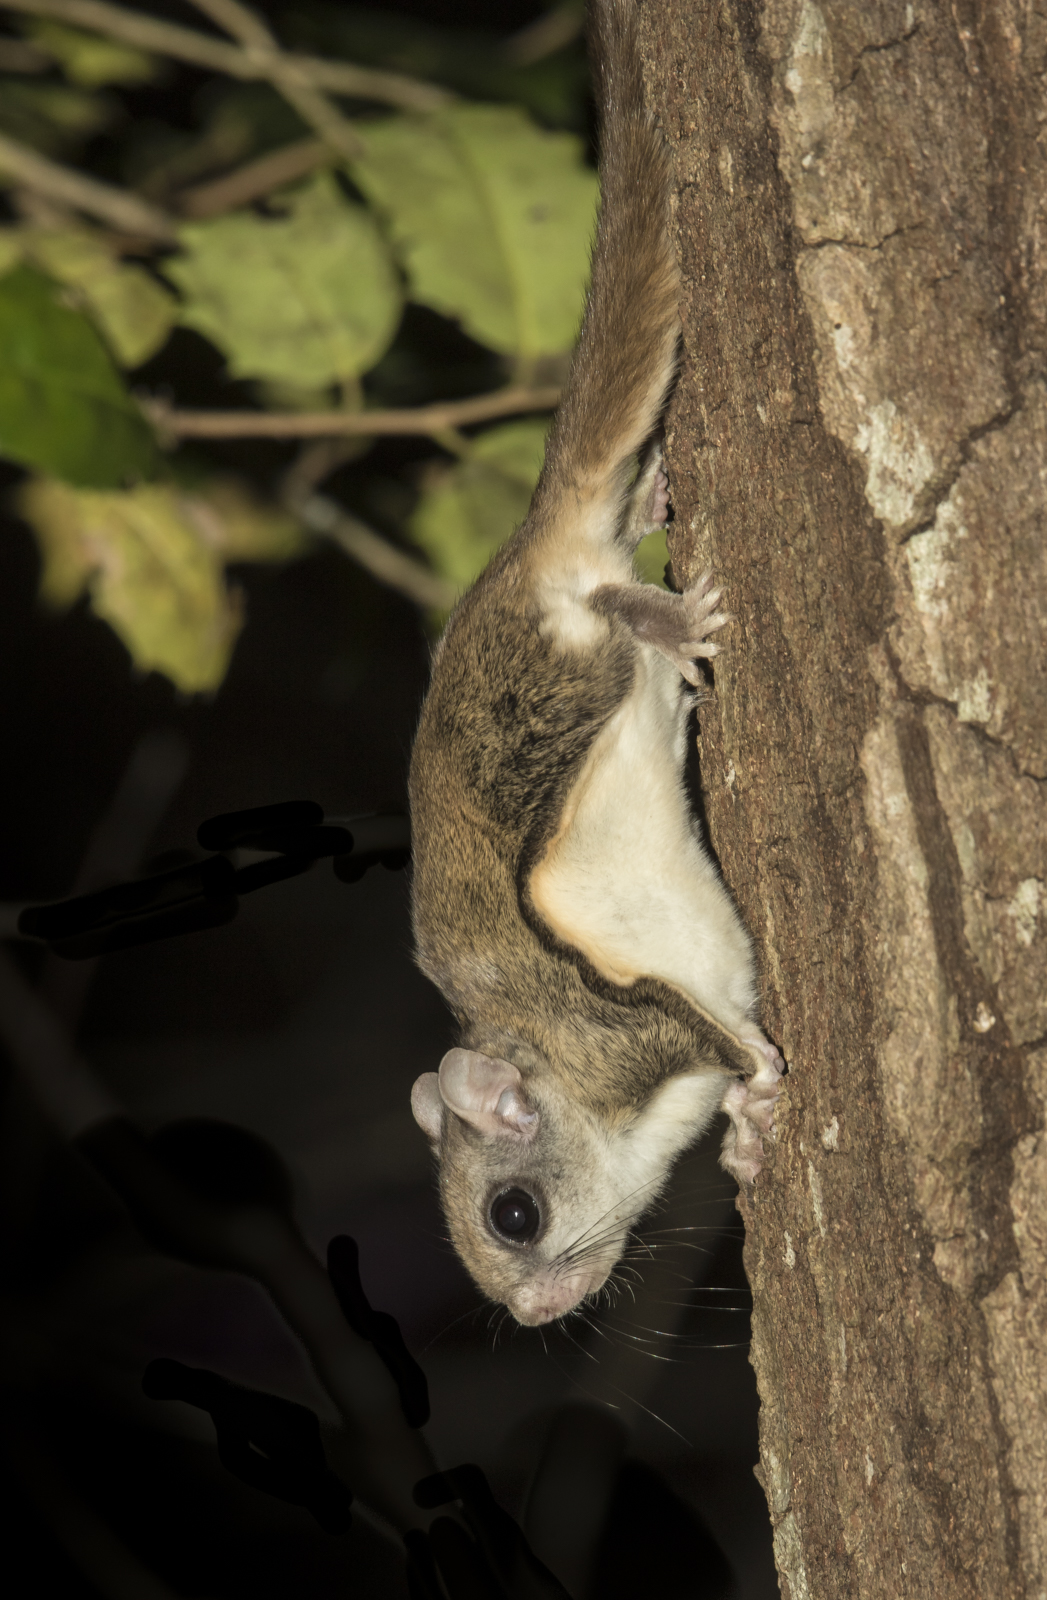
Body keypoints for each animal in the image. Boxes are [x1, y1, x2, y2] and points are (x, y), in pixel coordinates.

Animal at [407, 0, 783, 1327]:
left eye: (511, 1214)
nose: (529, 1317)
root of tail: (519, 556)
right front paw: (745, 1138)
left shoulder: (629, 1025)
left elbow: (717, 1034)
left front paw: (761, 1089)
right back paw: (660, 492)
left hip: (559, 674)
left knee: (612, 611)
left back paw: (670, 623)